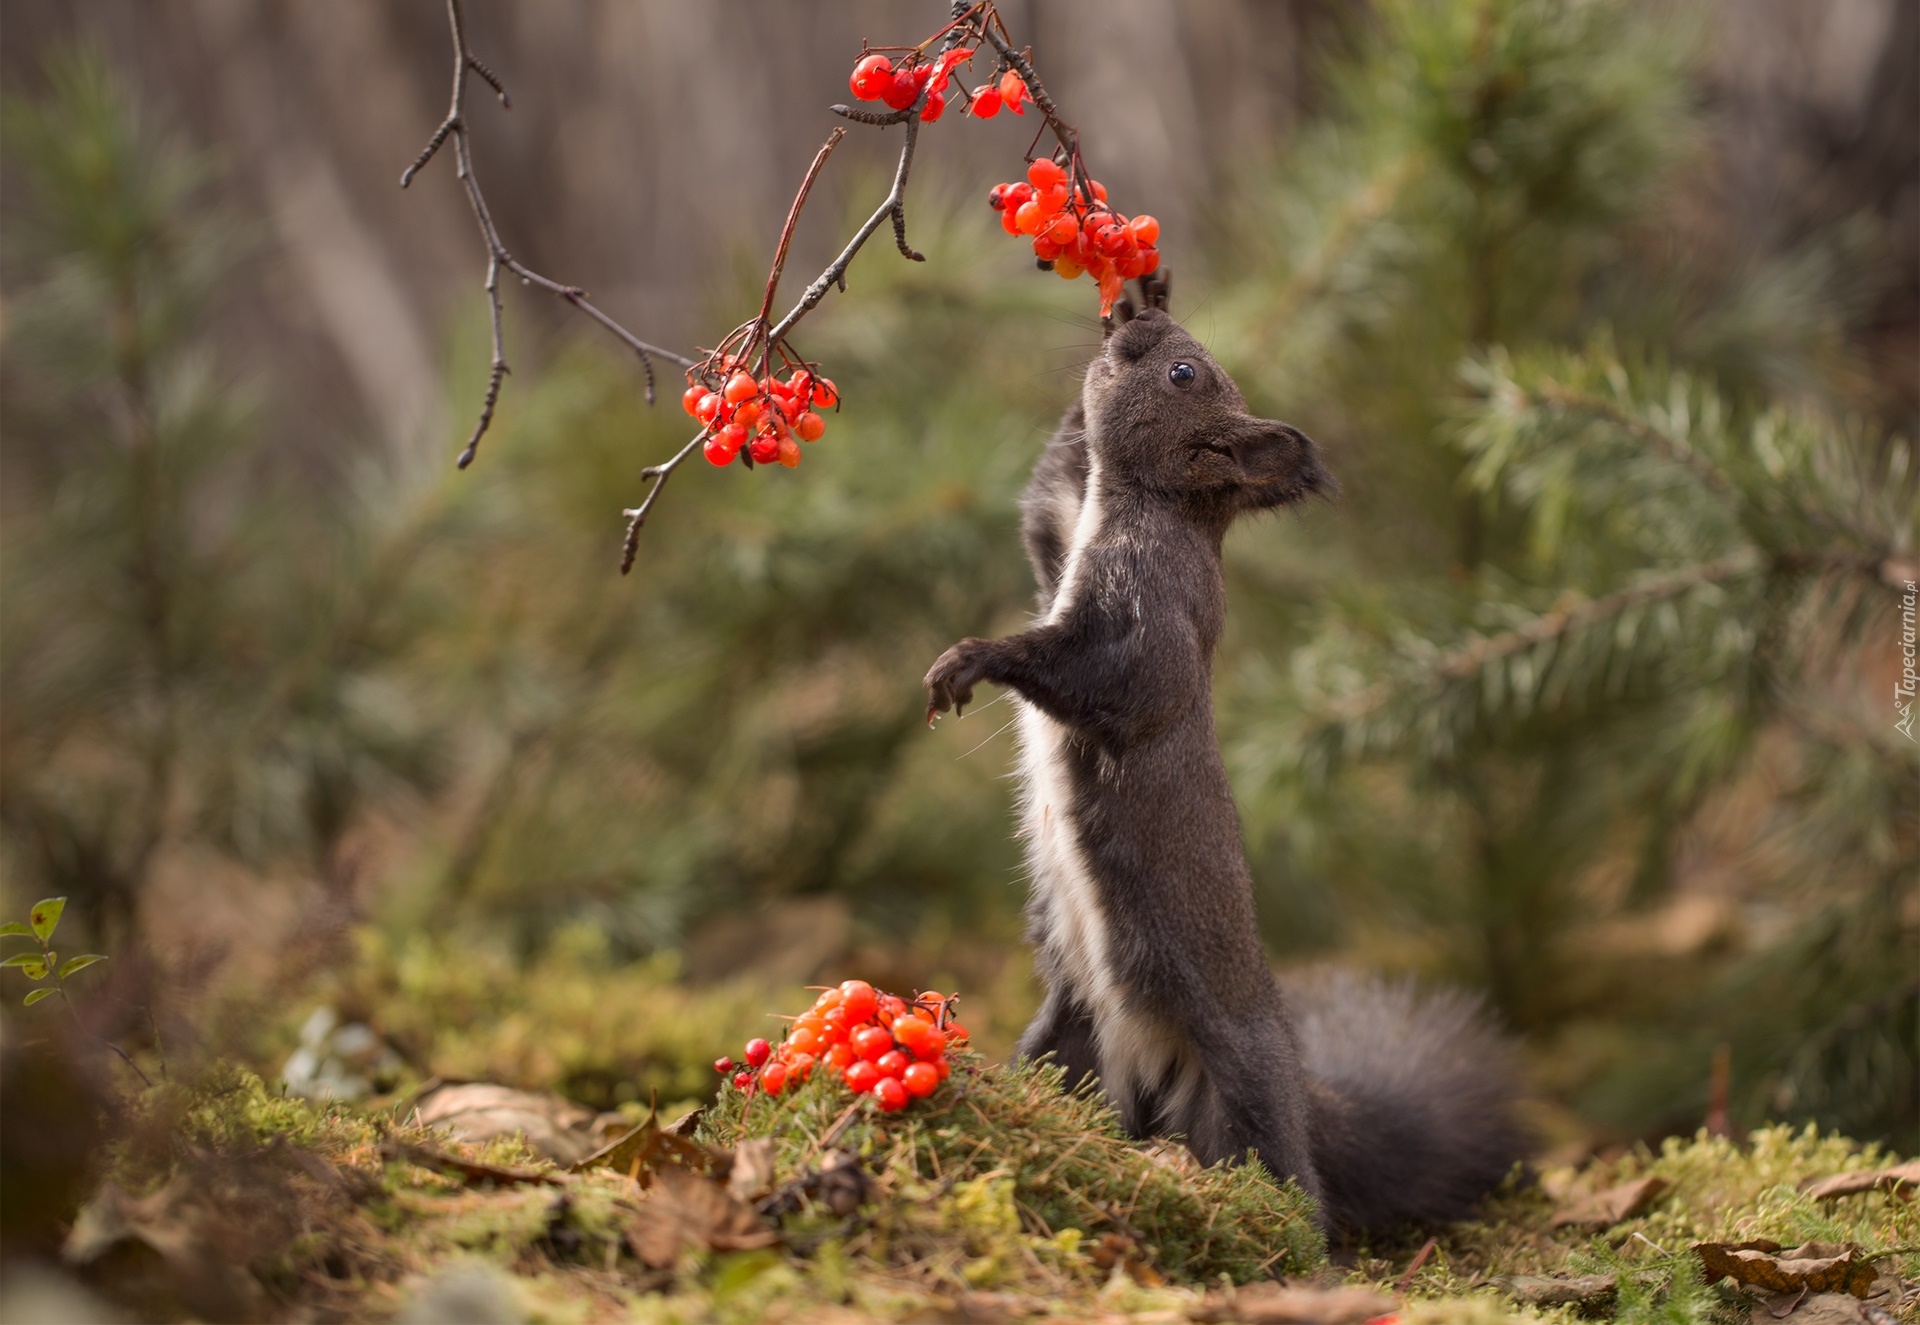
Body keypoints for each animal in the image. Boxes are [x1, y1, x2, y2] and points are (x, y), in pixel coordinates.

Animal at [929, 284, 1528, 1236]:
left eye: (1185, 374)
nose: (1134, 327)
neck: (1146, 504)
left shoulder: (1156, 608)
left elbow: (1122, 681)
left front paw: (976, 658)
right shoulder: (1060, 546)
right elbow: (1044, 503)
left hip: (1241, 1088)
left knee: (1291, 1181)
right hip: (1068, 1040)